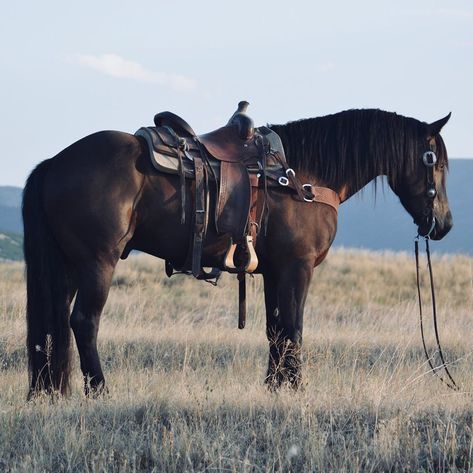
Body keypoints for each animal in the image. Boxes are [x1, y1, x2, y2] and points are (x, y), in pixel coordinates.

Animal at [23, 107, 454, 394]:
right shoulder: (297, 267)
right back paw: (99, 390)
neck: (303, 178)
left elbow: (275, 330)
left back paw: (51, 391)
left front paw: (275, 387)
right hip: (97, 263)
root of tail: (56, 163)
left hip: (67, 266)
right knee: (84, 322)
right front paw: (296, 388)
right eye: (435, 163)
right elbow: (294, 328)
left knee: (55, 323)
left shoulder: (275, 271)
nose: (445, 224)